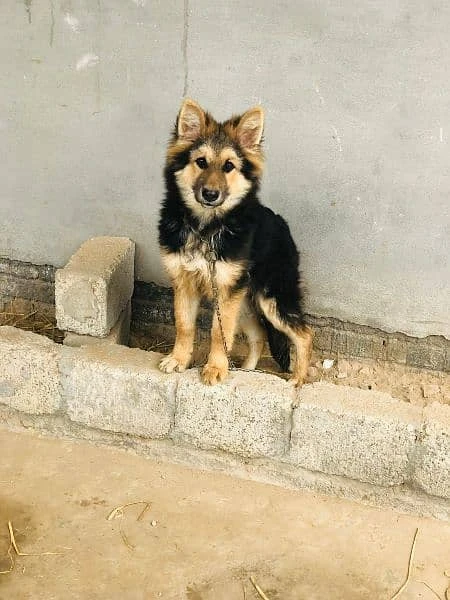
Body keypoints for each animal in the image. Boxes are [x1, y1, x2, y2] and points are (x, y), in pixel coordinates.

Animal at [158, 99, 312, 386]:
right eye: (201, 162)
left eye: (229, 166)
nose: (210, 194)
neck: (206, 228)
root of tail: (282, 224)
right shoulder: (185, 283)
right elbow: (184, 326)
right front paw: (179, 359)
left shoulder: (226, 290)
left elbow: (219, 333)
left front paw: (216, 368)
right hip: (246, 303)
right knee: (259, 335)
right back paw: (249, 370)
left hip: (272, 298)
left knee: (305, 334)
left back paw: (297, 380)